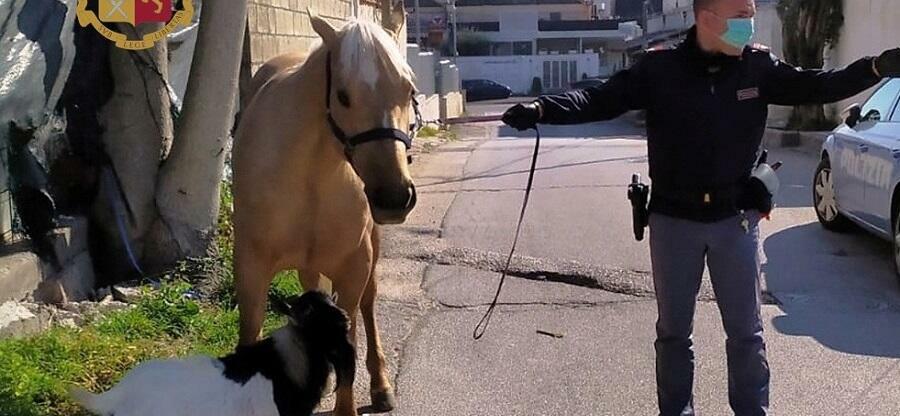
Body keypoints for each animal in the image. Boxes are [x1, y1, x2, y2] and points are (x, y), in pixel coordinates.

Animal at [232, 7, 414, 416]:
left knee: (368, 306)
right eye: (343, 95)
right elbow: (250, 332)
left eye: (409, 90)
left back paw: (380, 386)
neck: (309, 171)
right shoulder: (250, 268)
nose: (394, 197)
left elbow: (350, 333)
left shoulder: (355, 266)